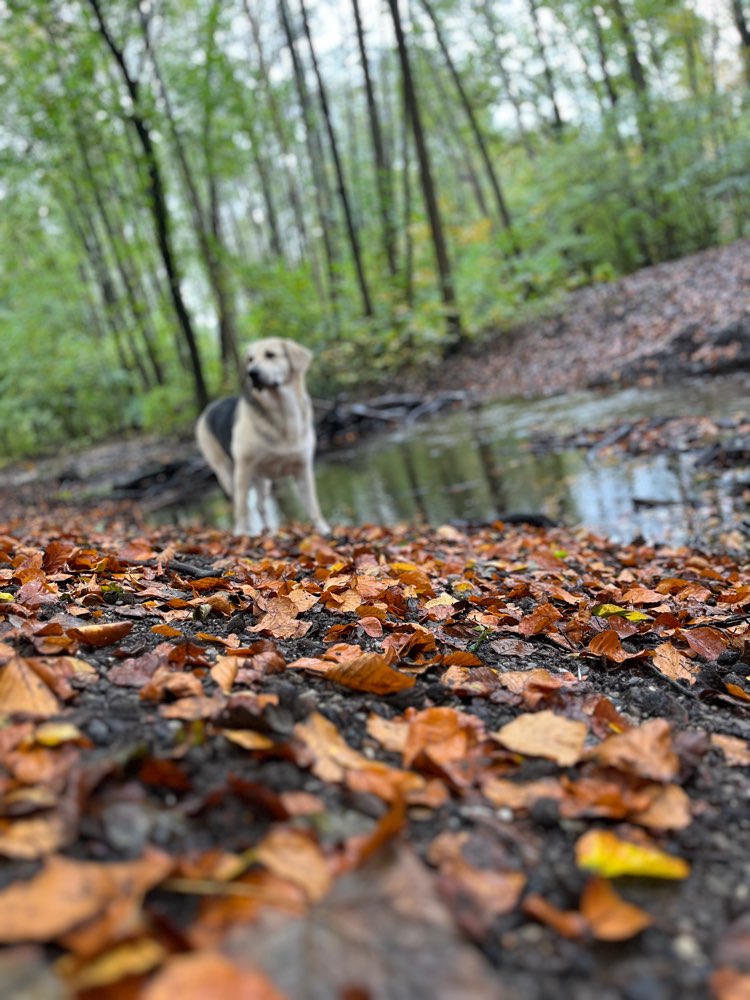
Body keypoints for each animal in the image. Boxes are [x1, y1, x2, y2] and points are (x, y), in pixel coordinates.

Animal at [195, 336, 330, 536]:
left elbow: (313, 506)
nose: (252, 373)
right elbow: (241, 509)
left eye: (270, 355)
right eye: (250, 359)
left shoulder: (303, 469)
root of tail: (209, 407)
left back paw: (270, 531)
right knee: (243, 505)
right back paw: (249, 531)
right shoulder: (242, 469)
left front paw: (324, 530)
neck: (283, 414)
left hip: (262, 481)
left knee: (260, 506)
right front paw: (239, 533)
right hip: (227, 474)